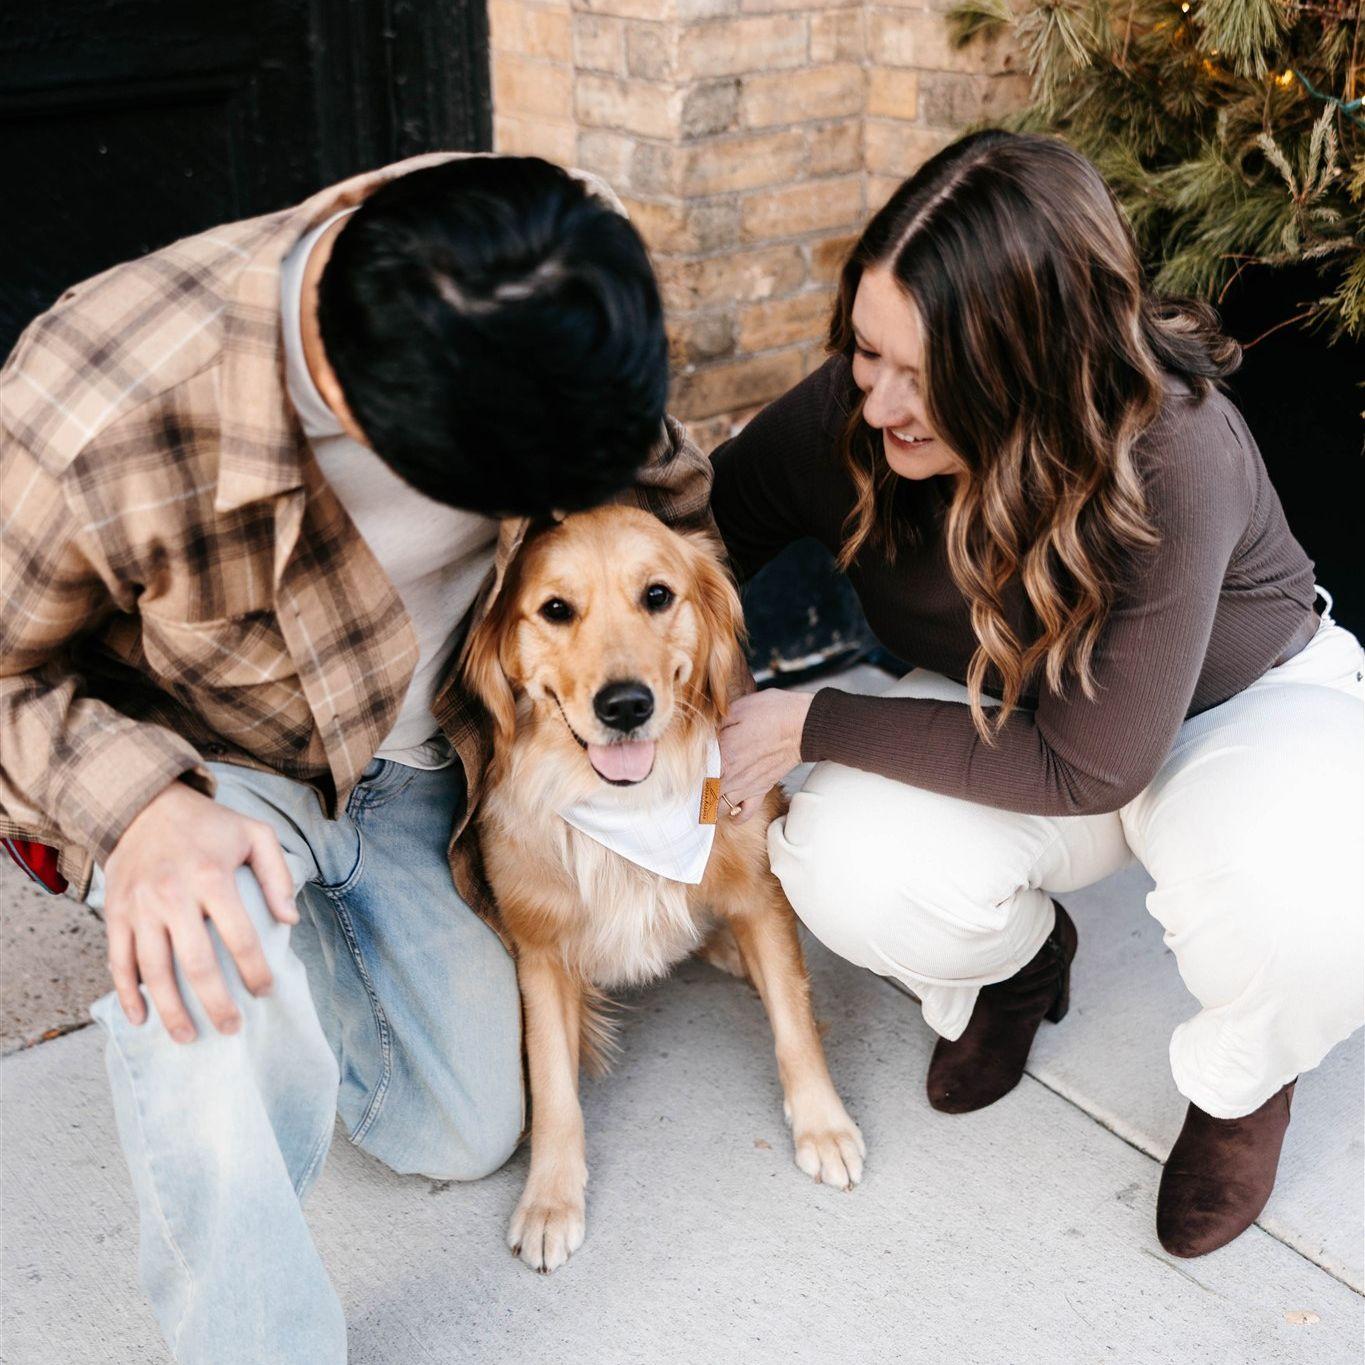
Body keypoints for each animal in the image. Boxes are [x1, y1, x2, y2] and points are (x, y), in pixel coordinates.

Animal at [463, 505, 865, 1273]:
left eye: (657, 595)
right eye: (554, 610)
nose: (624, 705)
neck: (628, 808)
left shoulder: (758, 889)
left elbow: (794, 1025)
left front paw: (823, 1125)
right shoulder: (539, 948)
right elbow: (553, 1086)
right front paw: (550, 1199)